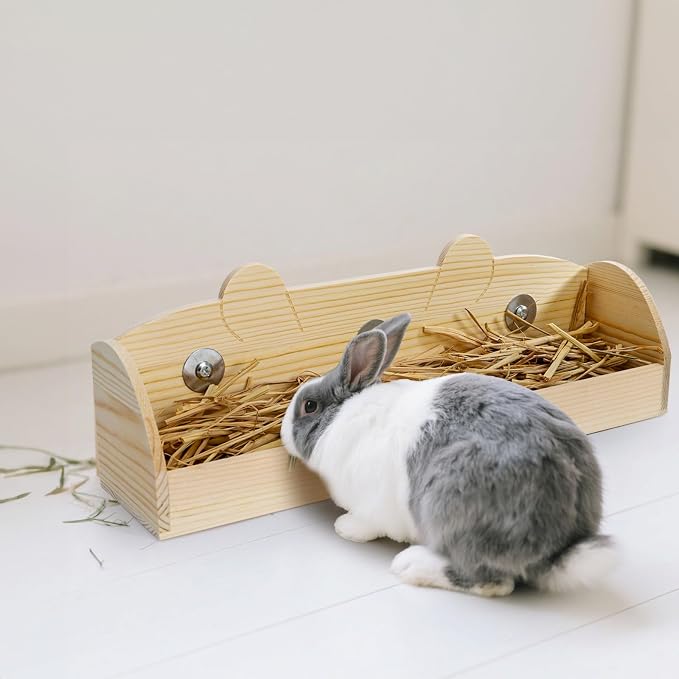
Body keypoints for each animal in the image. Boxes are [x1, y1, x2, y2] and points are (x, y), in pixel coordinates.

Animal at [281, 313, 615, 597]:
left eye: (309, 406)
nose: (282, 433)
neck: (343, 418)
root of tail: (560, 546)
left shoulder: (371, 507)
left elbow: (364, 525)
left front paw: (344, 528)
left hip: (451, 507)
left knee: (492, 581)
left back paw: (411, 565)